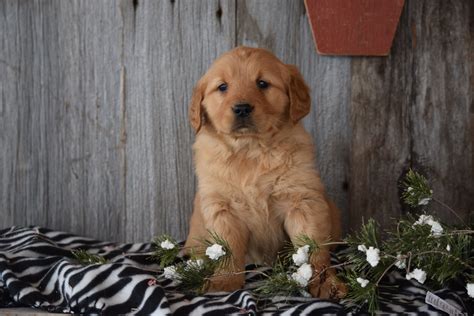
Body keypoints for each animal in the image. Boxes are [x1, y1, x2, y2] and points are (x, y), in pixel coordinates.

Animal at [184, 45, 344, 298]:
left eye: (262, 83)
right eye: (222, 87)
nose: (242, 108)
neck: (251, 151)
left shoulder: (302, 201)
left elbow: (313, 250)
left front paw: (324, 282)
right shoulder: (223, 207)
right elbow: (227, 250)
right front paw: (224, 281)